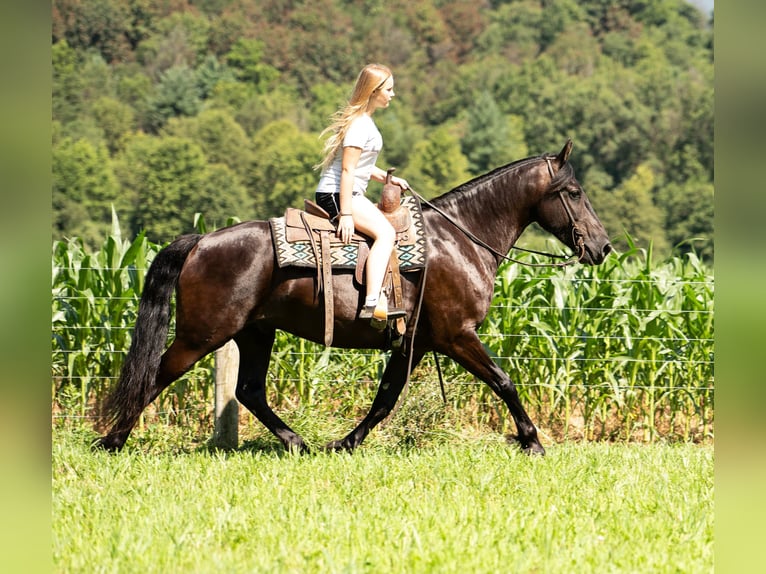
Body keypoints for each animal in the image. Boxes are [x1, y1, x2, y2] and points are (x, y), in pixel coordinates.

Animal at [97, 139, 611, 456]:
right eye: (573, 191)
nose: (603, 247)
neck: (460, 239)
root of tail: (202, 240)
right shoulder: (457, 336)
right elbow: (504, 381)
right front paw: (532, 440)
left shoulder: (414, 343)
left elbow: (385, 398)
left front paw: (344, 443)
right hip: (201, 334)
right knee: (157, 375)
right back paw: (112, 440)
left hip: (255, 333)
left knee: (249, 391)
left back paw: (297, 442)